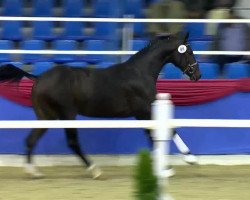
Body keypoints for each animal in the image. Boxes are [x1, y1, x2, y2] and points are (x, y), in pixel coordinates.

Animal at [0, 32, 200, 178]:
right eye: (189, 52)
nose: (197, 75)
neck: (139, 73)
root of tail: (39, 77)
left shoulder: (142, 113)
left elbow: (155, 135)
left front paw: (165, 167)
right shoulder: (143, 110)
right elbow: (167, 131)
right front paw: (187, 160)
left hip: (46, 116)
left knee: (31, 140)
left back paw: (33, 172)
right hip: (67, 114)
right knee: (72, 142)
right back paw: (94, 170)